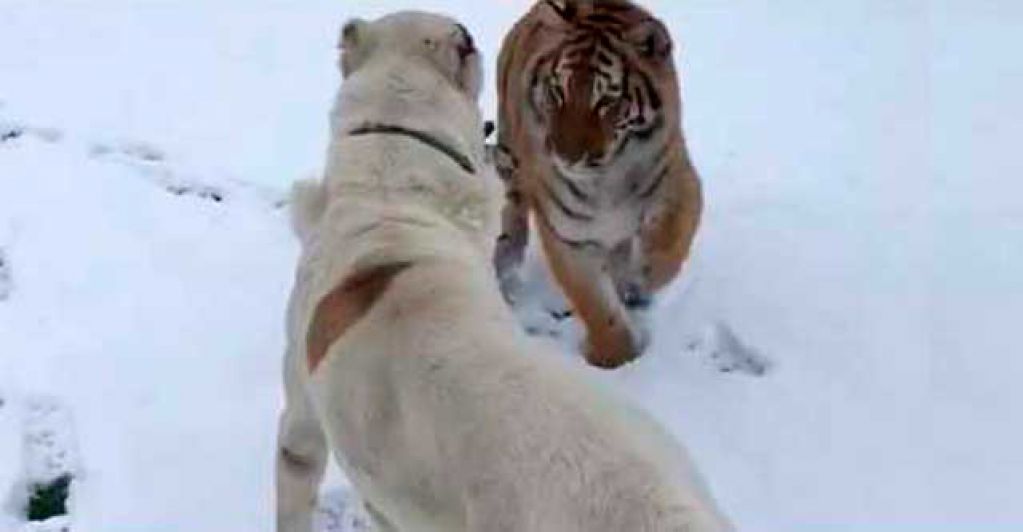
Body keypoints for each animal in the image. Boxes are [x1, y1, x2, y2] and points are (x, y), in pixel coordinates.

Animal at [493, 0, 703, 369]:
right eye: (557, 91)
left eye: (607, 100)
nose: (566, 157)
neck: (608, 177)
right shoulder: (567, 234)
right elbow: (594, 305)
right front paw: (613, 358)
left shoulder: (679, 182)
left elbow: (669, 245)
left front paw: (643, 279)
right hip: (511, 155)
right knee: (514, 208)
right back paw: (506, 260)